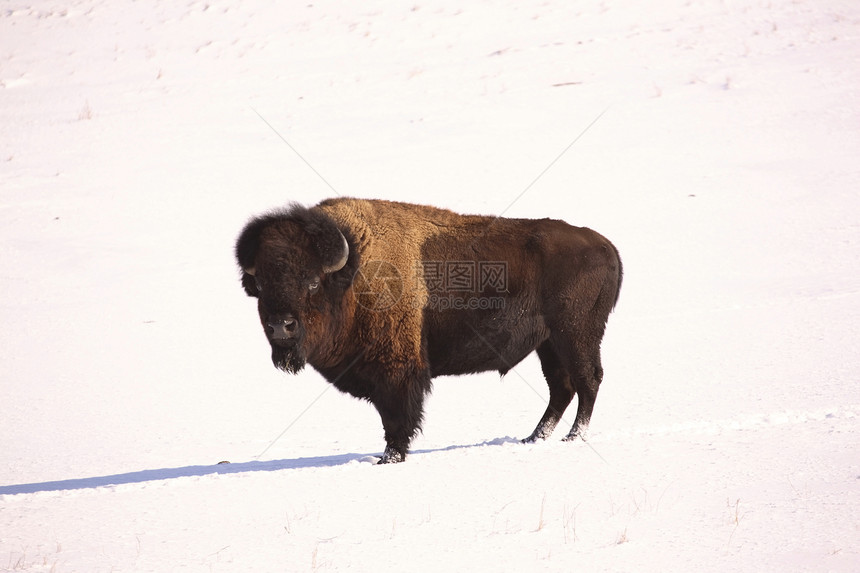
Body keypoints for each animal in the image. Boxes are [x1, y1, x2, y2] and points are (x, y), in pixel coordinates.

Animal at [239, 199, 620, 462]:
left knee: (587, 380)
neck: (354, 273)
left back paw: (573, 437)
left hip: (576, 334)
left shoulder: (397, 371)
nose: (281, 325)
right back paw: (533, 438)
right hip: (549, 344)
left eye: (313, 282)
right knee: (562, 387)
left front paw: (389, 458)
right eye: (262, 284)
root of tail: (606, 246)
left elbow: (396, 417)